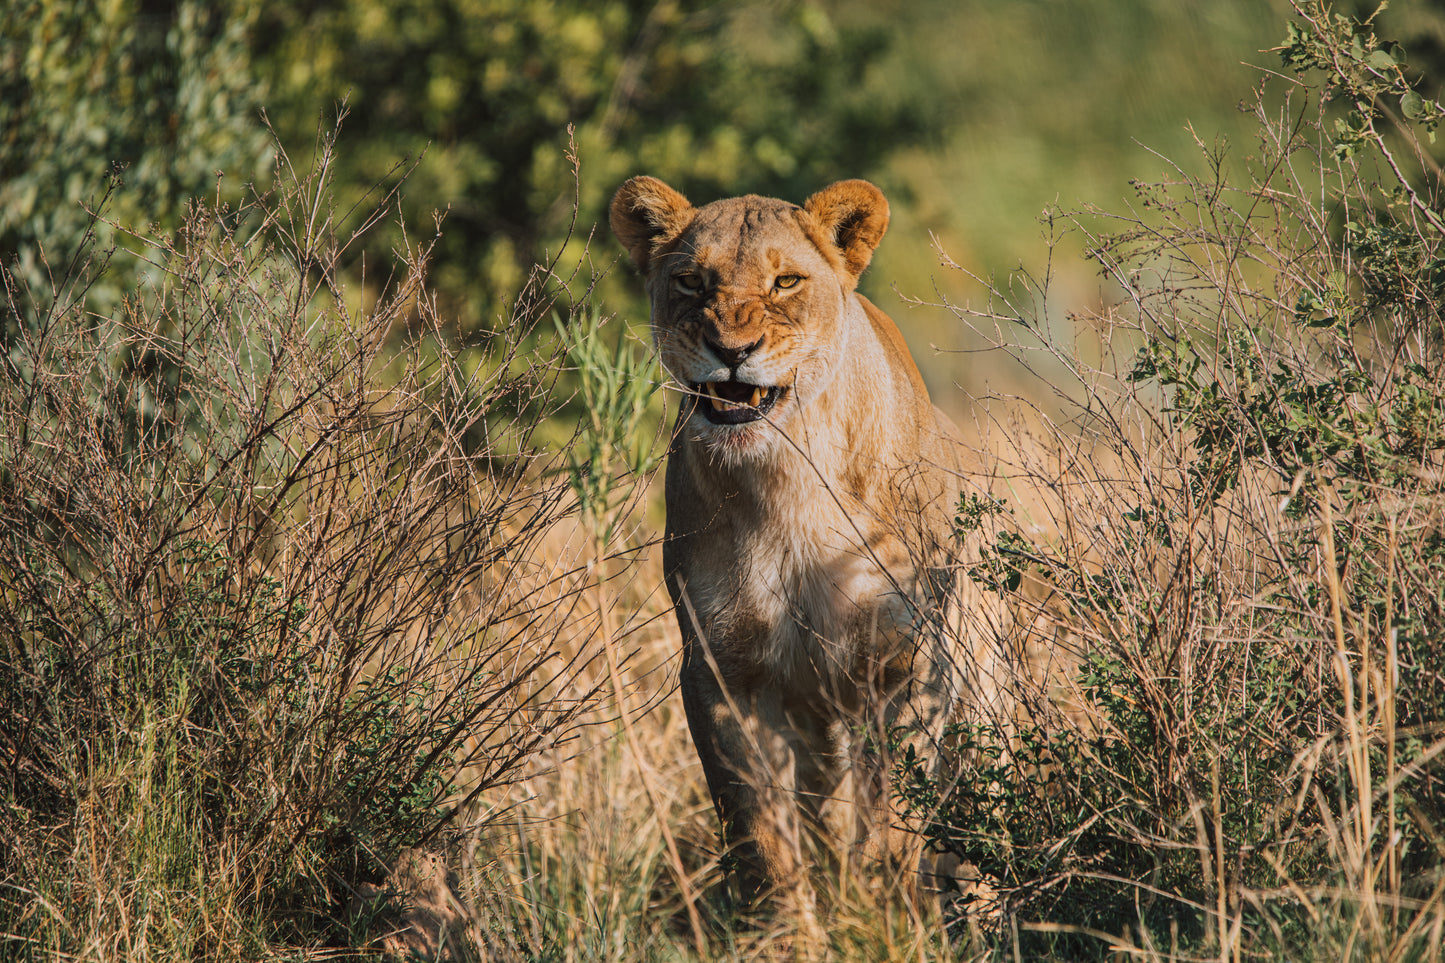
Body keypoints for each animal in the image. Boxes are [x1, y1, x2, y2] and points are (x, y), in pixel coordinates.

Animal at [610, 176, 1003, 925]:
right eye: (691, 280)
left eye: (785, 281)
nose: (731, 348)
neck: (784, 478)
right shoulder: (723, 670)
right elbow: (760, 835)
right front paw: (792, 931)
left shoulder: (903, 667)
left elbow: (891, 825)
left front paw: (884, 920)